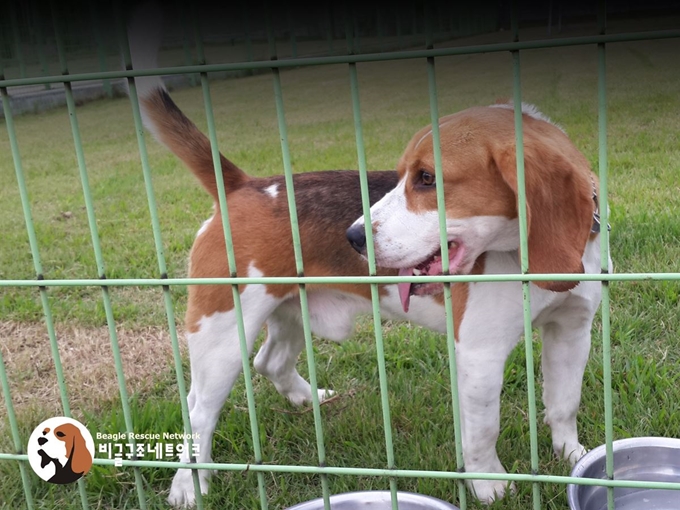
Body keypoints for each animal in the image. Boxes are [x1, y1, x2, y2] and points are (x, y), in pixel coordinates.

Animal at [130, 3, 608, 506]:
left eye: (427, 179)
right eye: (402, 176)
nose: (354, 236)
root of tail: (245, 186)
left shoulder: (572, 331)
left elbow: (564, 405)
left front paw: (573, 459)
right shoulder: (480, 354)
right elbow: (483, 432)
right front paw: (488, 485)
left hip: (288, 310)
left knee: (269, 362)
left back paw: (307, 399)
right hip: (223, 332)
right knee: (198, 414)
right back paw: (189, 486)